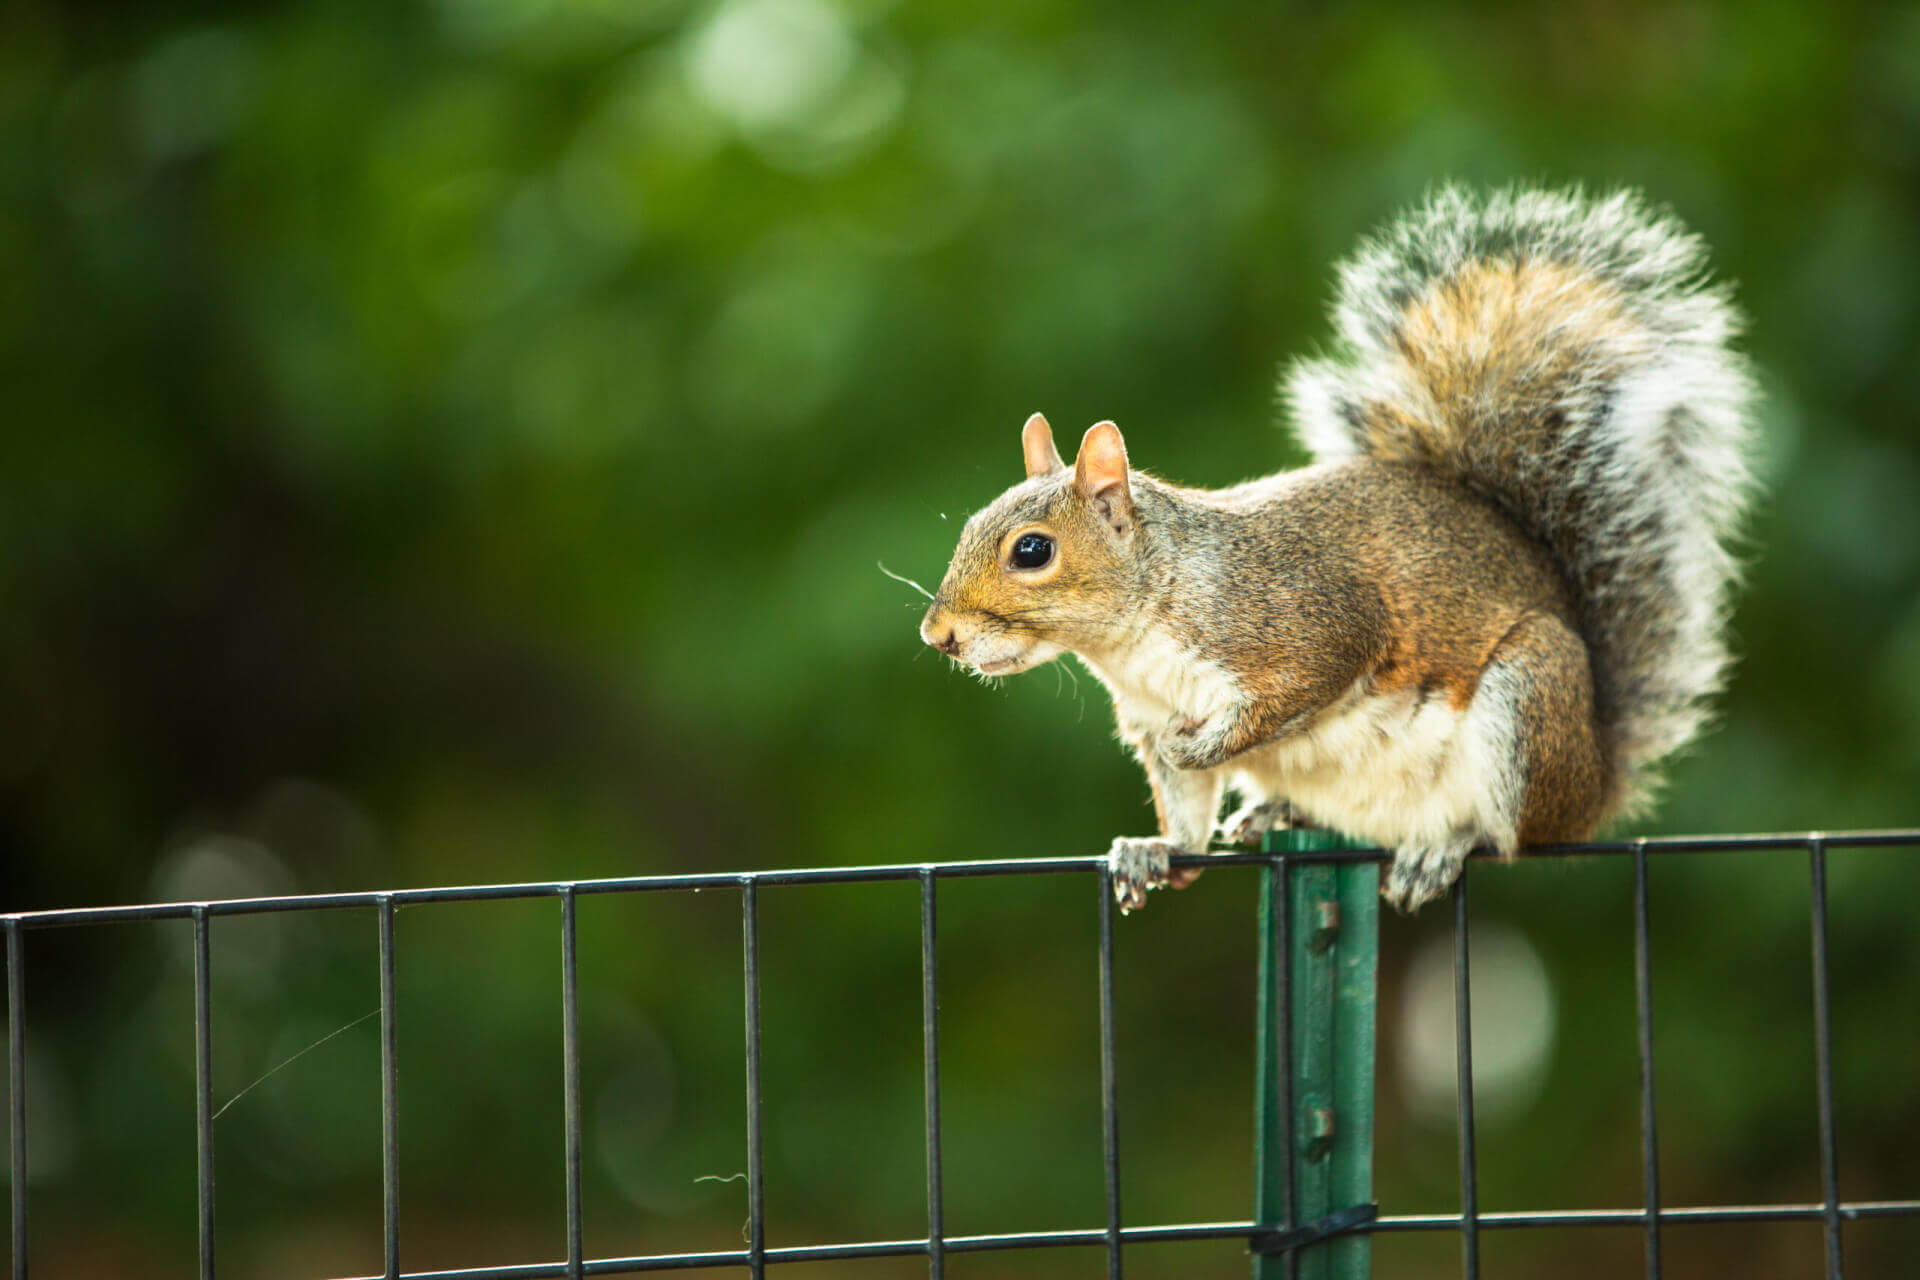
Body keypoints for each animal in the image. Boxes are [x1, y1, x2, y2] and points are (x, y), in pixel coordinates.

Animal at [913, 188, 1758, 909]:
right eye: (970, 525)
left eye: (1031, 551)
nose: (938, 635)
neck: (1142, 629)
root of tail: (1596, 778)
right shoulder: (1148, 718)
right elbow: (1184, 814)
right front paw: (1156, 849)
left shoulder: (1302, 621)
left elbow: (1304, 682)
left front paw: (1206, 747)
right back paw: (1271, 812)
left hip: (1528, 700)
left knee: (1513, 835)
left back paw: (1447, 845)